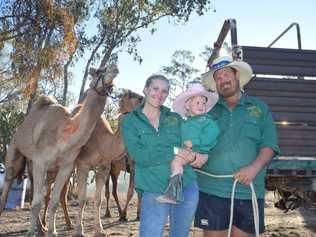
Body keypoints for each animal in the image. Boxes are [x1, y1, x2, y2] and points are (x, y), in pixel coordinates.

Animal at [0, 65, 118, 237]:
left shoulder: (66, 166)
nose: (115, 68)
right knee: (8, 185)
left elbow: (54, 201)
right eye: (98, 71)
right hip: (15, 153)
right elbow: (37, 202)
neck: (64, 134)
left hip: (36, 165)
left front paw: (52, 231)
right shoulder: (41, 162)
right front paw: (30, 233)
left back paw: (42, 229)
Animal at [72, 90, 143, 236]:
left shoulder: (105, 166)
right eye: (131, 95)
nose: (143, 98)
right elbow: (83, 198)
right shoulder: (83, 165)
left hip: (114, 170)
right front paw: (79, 230)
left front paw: (100, 230)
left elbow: (99, 198)